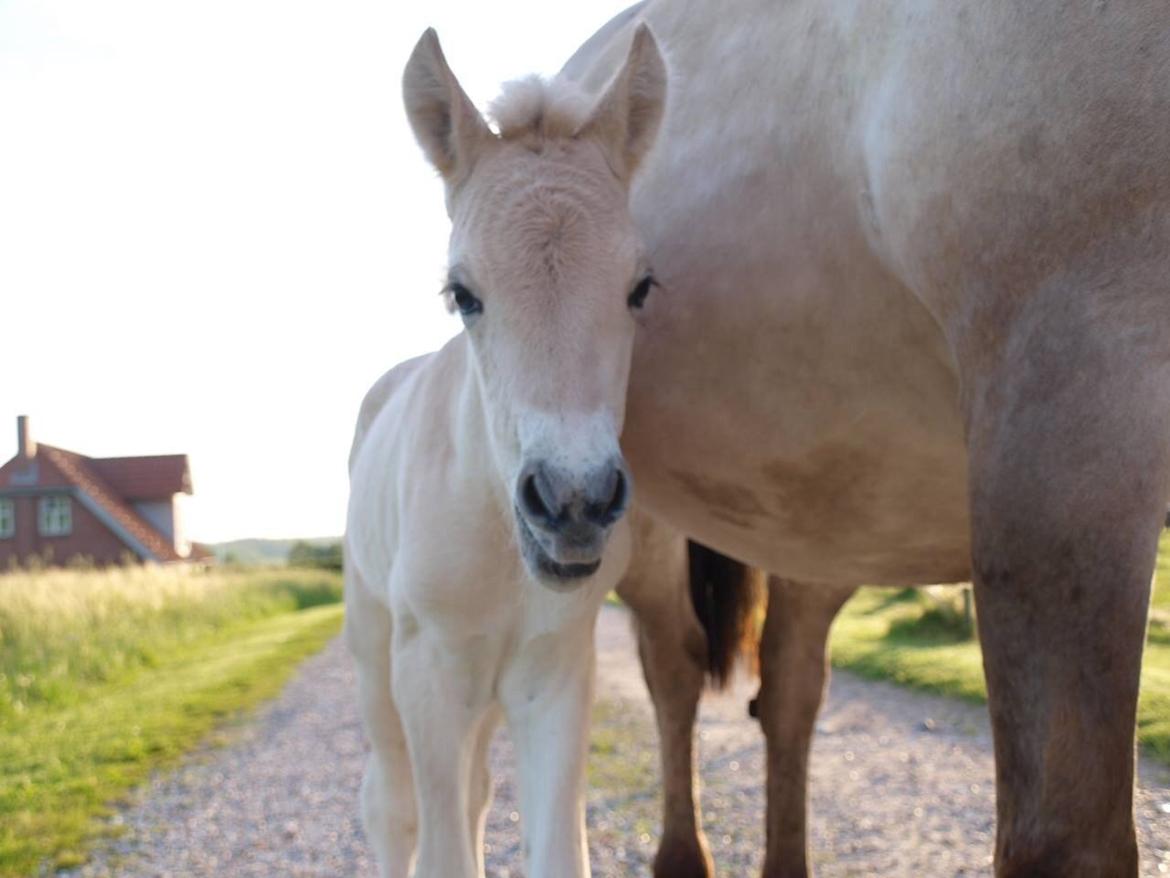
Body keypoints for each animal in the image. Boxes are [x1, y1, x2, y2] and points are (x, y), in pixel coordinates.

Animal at [341, 25, 669, 878]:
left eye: (640, 287)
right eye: (462, 294)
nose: (573, 501)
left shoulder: (555, 671)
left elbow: (555, 850)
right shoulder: (427, 673)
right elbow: (438, 848)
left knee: (475, 793)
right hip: (374, 652)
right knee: (390, 806)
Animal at [561, 3, 1165, 875]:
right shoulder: (1068, 393)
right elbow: (1065, 838)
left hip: (820, 512)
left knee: (788, 684)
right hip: (639, 519)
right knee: (673, 669)